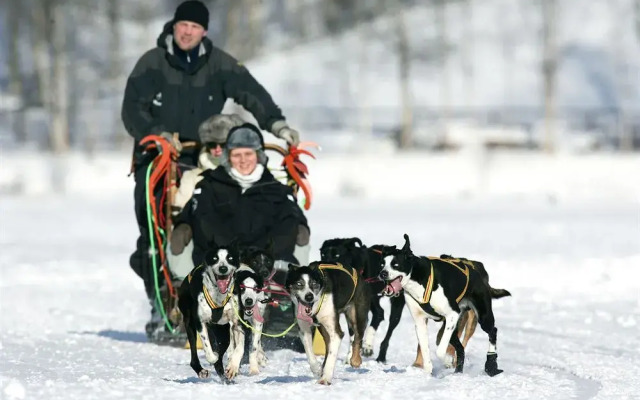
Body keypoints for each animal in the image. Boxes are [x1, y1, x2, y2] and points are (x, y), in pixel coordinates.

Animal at [179, 242, 246, 382]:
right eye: (215, 258)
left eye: (230, 258)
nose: (223, 268)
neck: (219, 297)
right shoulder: (200, 322)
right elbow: (209, 350)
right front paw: (213, 356)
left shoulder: (238, 323)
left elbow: (240, 348)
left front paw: (233, 367)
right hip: (189, 323)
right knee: (194, 354)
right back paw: (202, 370)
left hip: (223, 332)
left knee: (224, 348)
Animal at [380, 233, 504, 376]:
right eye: (382, 264)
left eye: (395, 264)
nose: (382, 273)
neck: (419, 279)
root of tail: (475, 269)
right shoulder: (420, 321)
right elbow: (425, 349)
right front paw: (427, 371)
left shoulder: (452, 313)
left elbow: (439, 351)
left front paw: (447, 360)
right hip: (454, 325)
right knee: (460, 348)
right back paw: (458, 370)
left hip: (481, 316)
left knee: (492, 331)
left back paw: (491, 364)